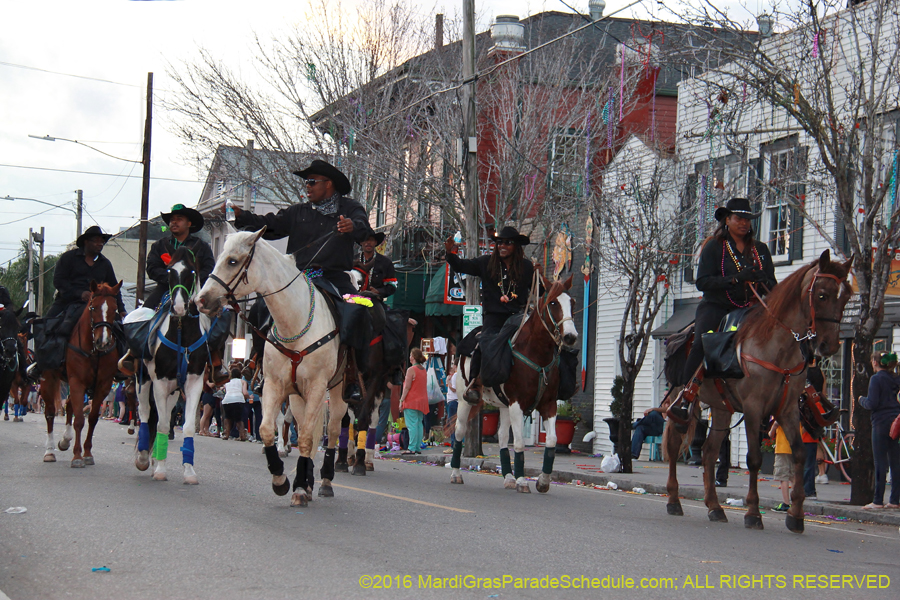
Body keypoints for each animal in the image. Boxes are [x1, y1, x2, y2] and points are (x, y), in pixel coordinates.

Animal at [40, 278, 122, 466]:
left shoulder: (102, 386)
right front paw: (77, 456)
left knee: (69, 405)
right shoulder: (77, 381)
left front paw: (87, 453)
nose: (103, 341)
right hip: (50, 379)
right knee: (50, 413)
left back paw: (65, 440)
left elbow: (91, 418)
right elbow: (79, 419)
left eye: (114, 309)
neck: (93, 351)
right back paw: (49, 451)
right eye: (93, 307)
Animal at [134, 246, 221, 486]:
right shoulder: (159, 383)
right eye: (169, 271)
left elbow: (189, 426)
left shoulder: (194, 383)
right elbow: (162, 425)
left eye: (191, 272)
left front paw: (189, 472)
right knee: (145, 414)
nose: (180, 307)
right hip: (143, 381)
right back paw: (144, 458)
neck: (182, 331)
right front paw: (160, 470)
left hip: (173, 392)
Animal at [199, 229, 350, 506]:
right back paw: (308, 480)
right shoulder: (275, 385)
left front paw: (299, 485)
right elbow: (268, 429)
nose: (202, 300)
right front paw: (282, 479)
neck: (294, 321)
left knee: (333, 430)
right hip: (298, 396)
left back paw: (325, 480)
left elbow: (306, 436)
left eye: (233, 261)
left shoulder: (316, 387)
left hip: (337, 392)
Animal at [448, 272, 576, 492]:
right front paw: (523, 481)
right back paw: (456, 474)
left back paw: (508, 477)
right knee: (459, 431)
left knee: (501, 437)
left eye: (572, 303)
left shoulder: (548, 404)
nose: (570, 337)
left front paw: (543, 481)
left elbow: (552, 440)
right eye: (552, 303)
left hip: (503, 405)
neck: (537, 355)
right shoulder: (517, 403)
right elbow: (519, 443)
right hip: (465, 401)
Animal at [660, 251, 852, 532]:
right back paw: (674, 500)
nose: (829, 345)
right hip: (681, 400)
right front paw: (753, 512)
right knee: (675, 443)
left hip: (721, 408)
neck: (777, 347)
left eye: (846, 296)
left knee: (709, 451)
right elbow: (754, 459)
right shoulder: (753, 408)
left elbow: (798, 453)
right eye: (822, 295)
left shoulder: (788, 409)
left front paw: (796, 515)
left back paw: (715, 507)